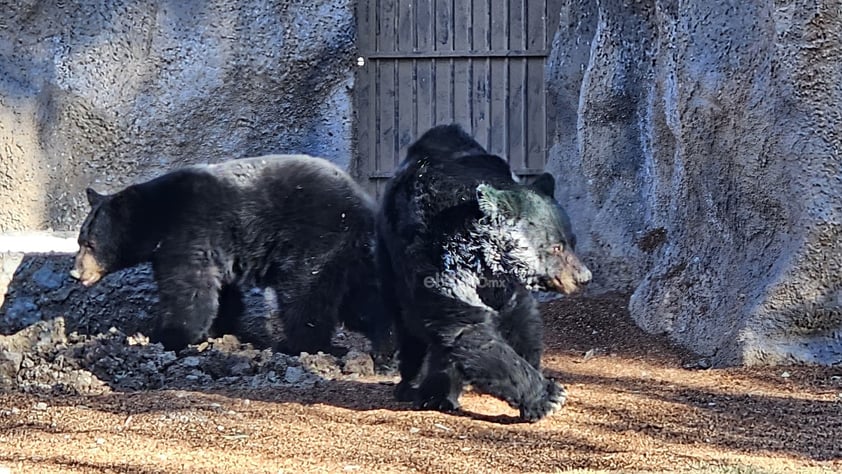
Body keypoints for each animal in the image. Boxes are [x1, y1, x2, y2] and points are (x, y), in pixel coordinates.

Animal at [69, 154, 390, 358]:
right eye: (80, 240)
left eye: (89, 244)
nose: (75, 273)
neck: (158, 217)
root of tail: (363, 205)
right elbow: (223, 293)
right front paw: (217, 333)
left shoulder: (189, 229)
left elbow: (189, 290)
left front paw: (161, 337)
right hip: (354, 253)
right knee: (364, 298)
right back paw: (385, 344)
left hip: (318, 240)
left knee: (305, 294)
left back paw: (299, 346)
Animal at [374, 123, 592, 422]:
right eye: (556, 247)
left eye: (572, 241)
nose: (584, 277)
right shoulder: (436, 260)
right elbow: (465, 326)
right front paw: (549, 397)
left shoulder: (503, 283)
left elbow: (519, 319)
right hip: (389, 258)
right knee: (407, 323)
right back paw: (414, 384)